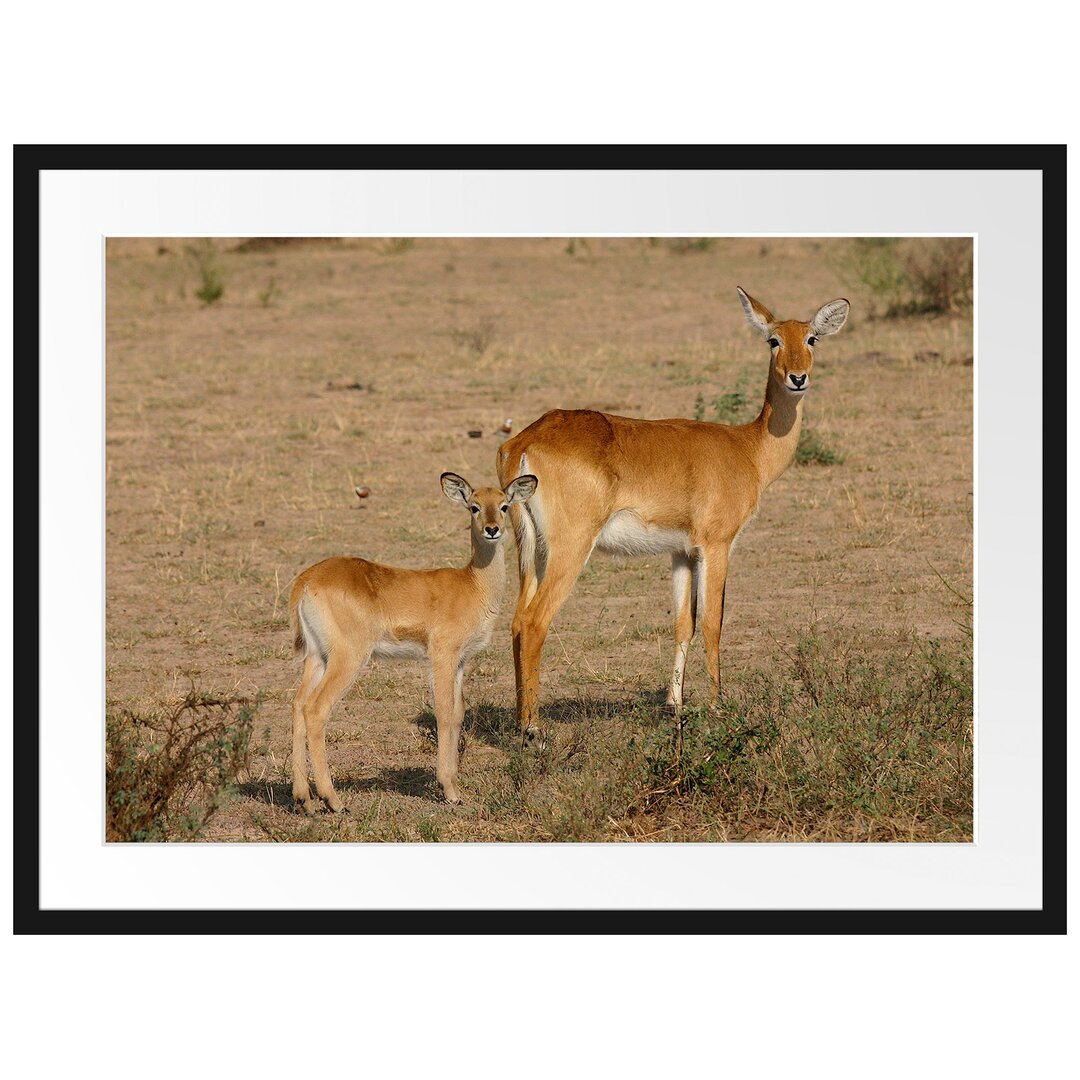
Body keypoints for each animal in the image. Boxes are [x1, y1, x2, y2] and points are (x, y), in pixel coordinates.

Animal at [289, 468, 537, 807]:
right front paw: (449, 791)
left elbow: (458, 713)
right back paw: (333, 800)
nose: (492, 530)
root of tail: (307, 580)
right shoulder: (442, 655)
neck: (472, 584)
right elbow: (443, 712)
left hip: (316, 657)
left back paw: (303, 798)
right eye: (473, 506)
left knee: (298, 704)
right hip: (348, 658)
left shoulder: (460, 662)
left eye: (503, 505)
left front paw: (455, 785)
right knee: (315, 709)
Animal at [494, 287, 842, 743]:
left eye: (812, 338)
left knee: (518, 621)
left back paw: (521, 721)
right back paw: (534, 731)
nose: (797, 378)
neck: (748, 449)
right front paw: (716, 708)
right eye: (773, 340)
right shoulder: (717, 545)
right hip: (570, 548)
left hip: (530, 549)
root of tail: (523, 441)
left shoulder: (682, 553)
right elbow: (712, 622)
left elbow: (683, 624)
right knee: (535, 622)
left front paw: (675, 705)